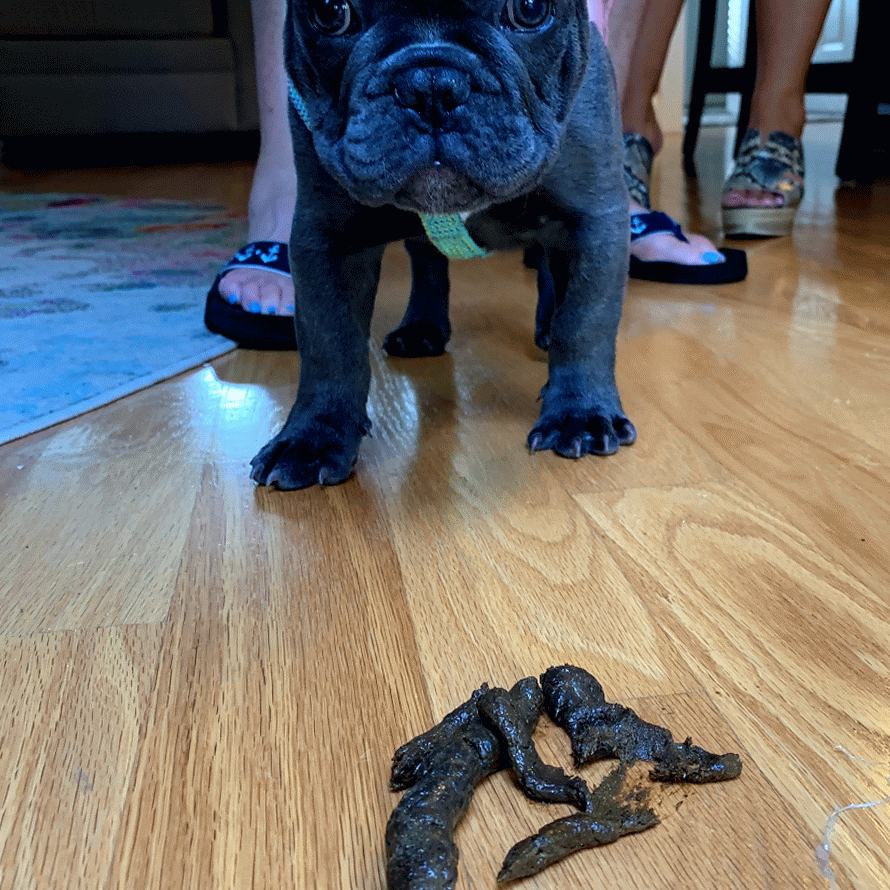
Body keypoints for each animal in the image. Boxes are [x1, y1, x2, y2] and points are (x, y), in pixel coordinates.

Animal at [250, 0, 635, 489]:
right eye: (331, 14)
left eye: (530, 10)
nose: (430, 86)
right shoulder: (326, 239)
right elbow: (330, 341)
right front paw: (313, 437)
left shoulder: (593, 220)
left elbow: (585, 320)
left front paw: (580, 414)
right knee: (428, 261)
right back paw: (423, 326)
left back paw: (545, 326)